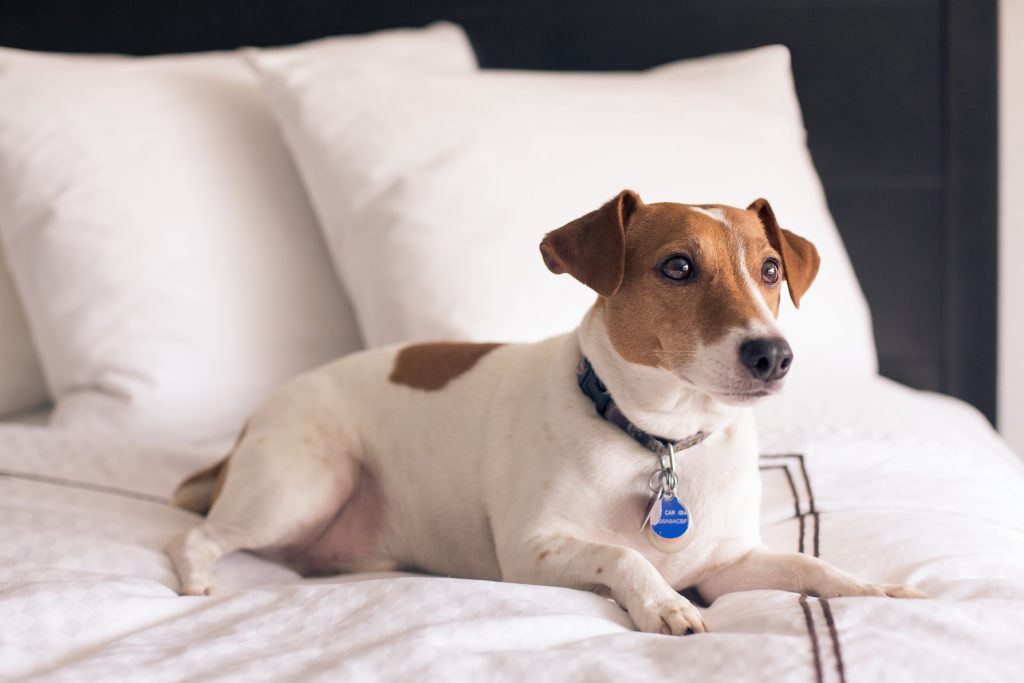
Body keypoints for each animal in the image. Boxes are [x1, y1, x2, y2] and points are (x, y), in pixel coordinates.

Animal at [165, 191, 921, 634]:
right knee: (197, 536)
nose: (774, 355)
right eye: (678, 267)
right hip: (304, 487)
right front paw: (666, 603)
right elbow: (623, 555)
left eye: (770, 270)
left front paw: (876, 589)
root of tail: (256, 417)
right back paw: (199, 580)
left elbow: (814, 570)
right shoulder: (533, 550)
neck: (659, 440)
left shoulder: (731, 562)